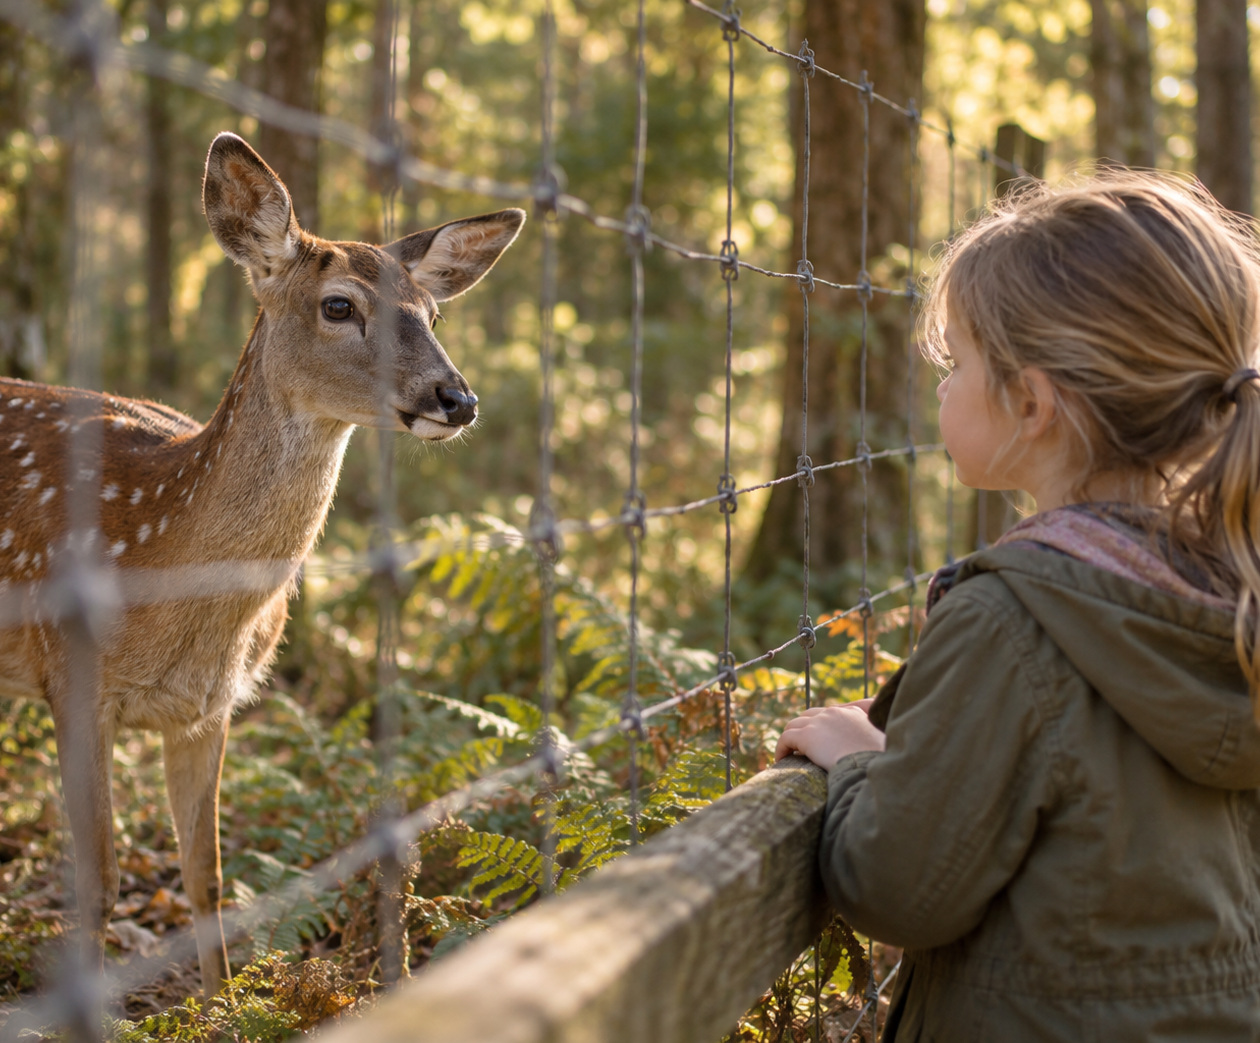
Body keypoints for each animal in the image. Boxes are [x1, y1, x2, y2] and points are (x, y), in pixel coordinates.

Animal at [0, 132, 524, 996]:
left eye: (433, 312)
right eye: (340, 305)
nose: (457, 398)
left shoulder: (209, 706)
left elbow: (206, 874)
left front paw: (219, 1004)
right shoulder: (70, 679)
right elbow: (101, 879)